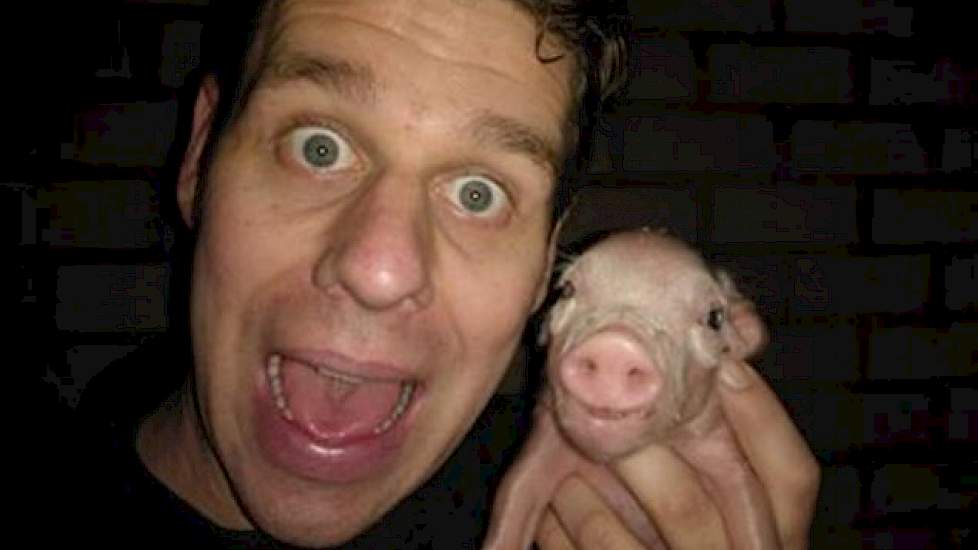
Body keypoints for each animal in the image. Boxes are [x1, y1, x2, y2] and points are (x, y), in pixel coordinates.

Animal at [483, 229, 773, 550]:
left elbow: (752, 516)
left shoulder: (722, 452)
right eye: (567, 290)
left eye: (715, 317)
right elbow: (515, 492)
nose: (615, 345)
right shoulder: (547, 440)